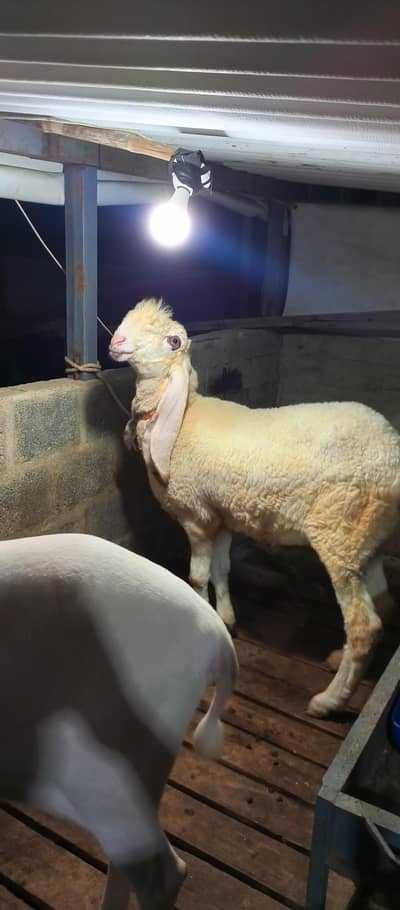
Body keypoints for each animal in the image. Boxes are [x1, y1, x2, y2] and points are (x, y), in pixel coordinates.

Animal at [109, 297, 400, 719]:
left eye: (173, 340)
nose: (116, 340)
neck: (181, 419)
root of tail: (392, 450)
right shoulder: (221, 516)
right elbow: (221, 570)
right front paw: (227, 619)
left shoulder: (195, 516)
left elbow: (196, 577)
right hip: (367, 539)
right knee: (384, 603)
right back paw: (337, 660)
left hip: (339, 533)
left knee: (365, 627)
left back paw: (328, 701)